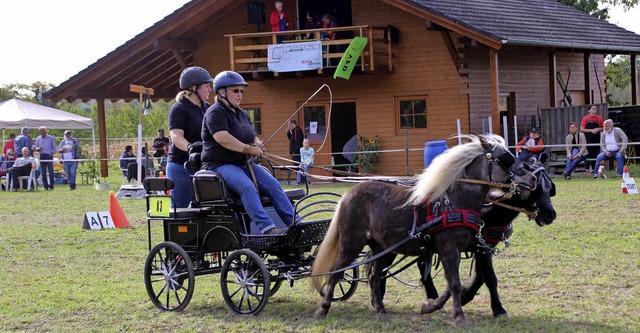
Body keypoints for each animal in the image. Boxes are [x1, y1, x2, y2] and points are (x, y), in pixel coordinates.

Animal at [312, 134, 536, 326]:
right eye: (505, 160)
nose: (532, 178)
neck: (455, 201)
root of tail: (348, 194)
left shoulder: (458, 249)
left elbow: (452, 284)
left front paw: (431, 306)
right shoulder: (449, 248)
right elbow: (454, 283)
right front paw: (458, 316)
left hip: (382, 249)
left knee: (374, 277)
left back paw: (381, 310)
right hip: (351, 243)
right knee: (336, 272)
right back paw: (323, 308)